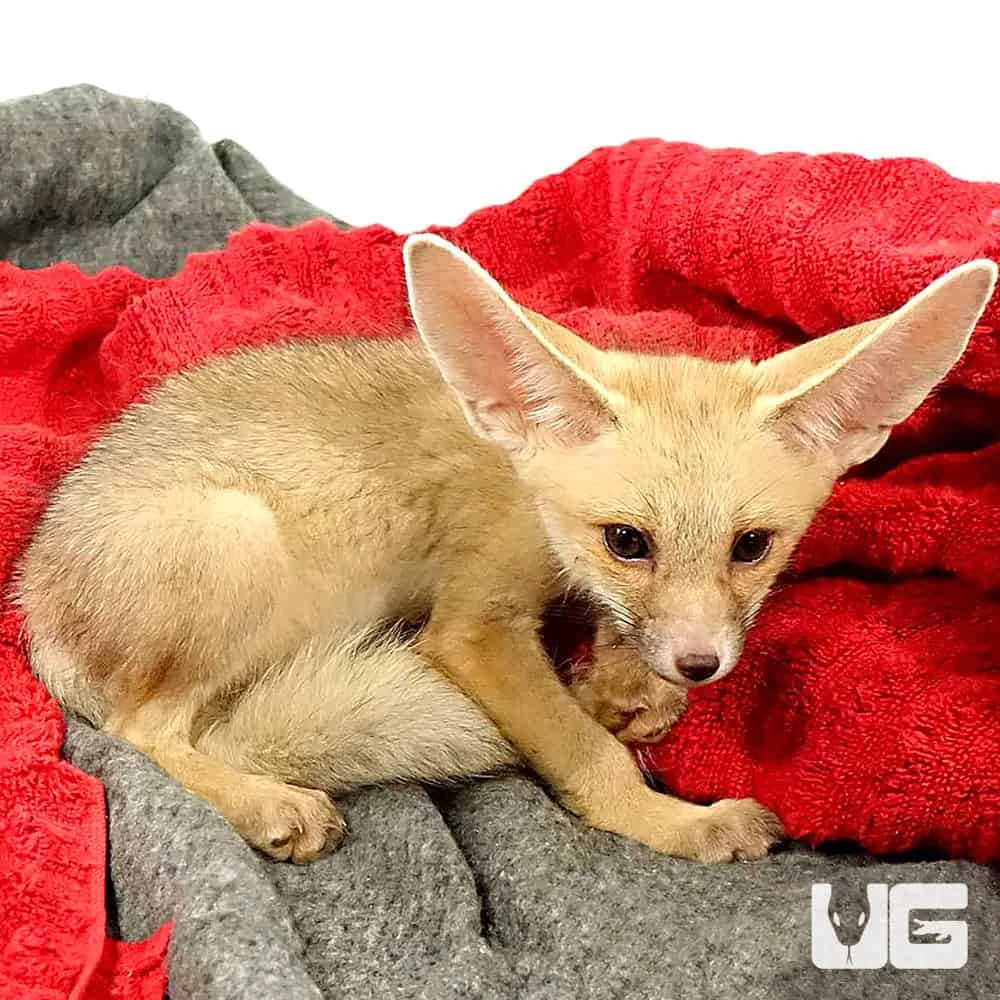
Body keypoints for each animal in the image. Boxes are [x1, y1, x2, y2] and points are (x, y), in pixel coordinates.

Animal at [14, 234, 996, 865]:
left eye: (752, 546)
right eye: (627, 540)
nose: (703, 666)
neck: (524, 475)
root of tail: (31, 597)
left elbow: (609, 667)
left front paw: (626, 688)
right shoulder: (472, 627)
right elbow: (585, 752)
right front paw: (672, 822)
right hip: (241, 543)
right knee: (144, 732)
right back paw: (267, 804)